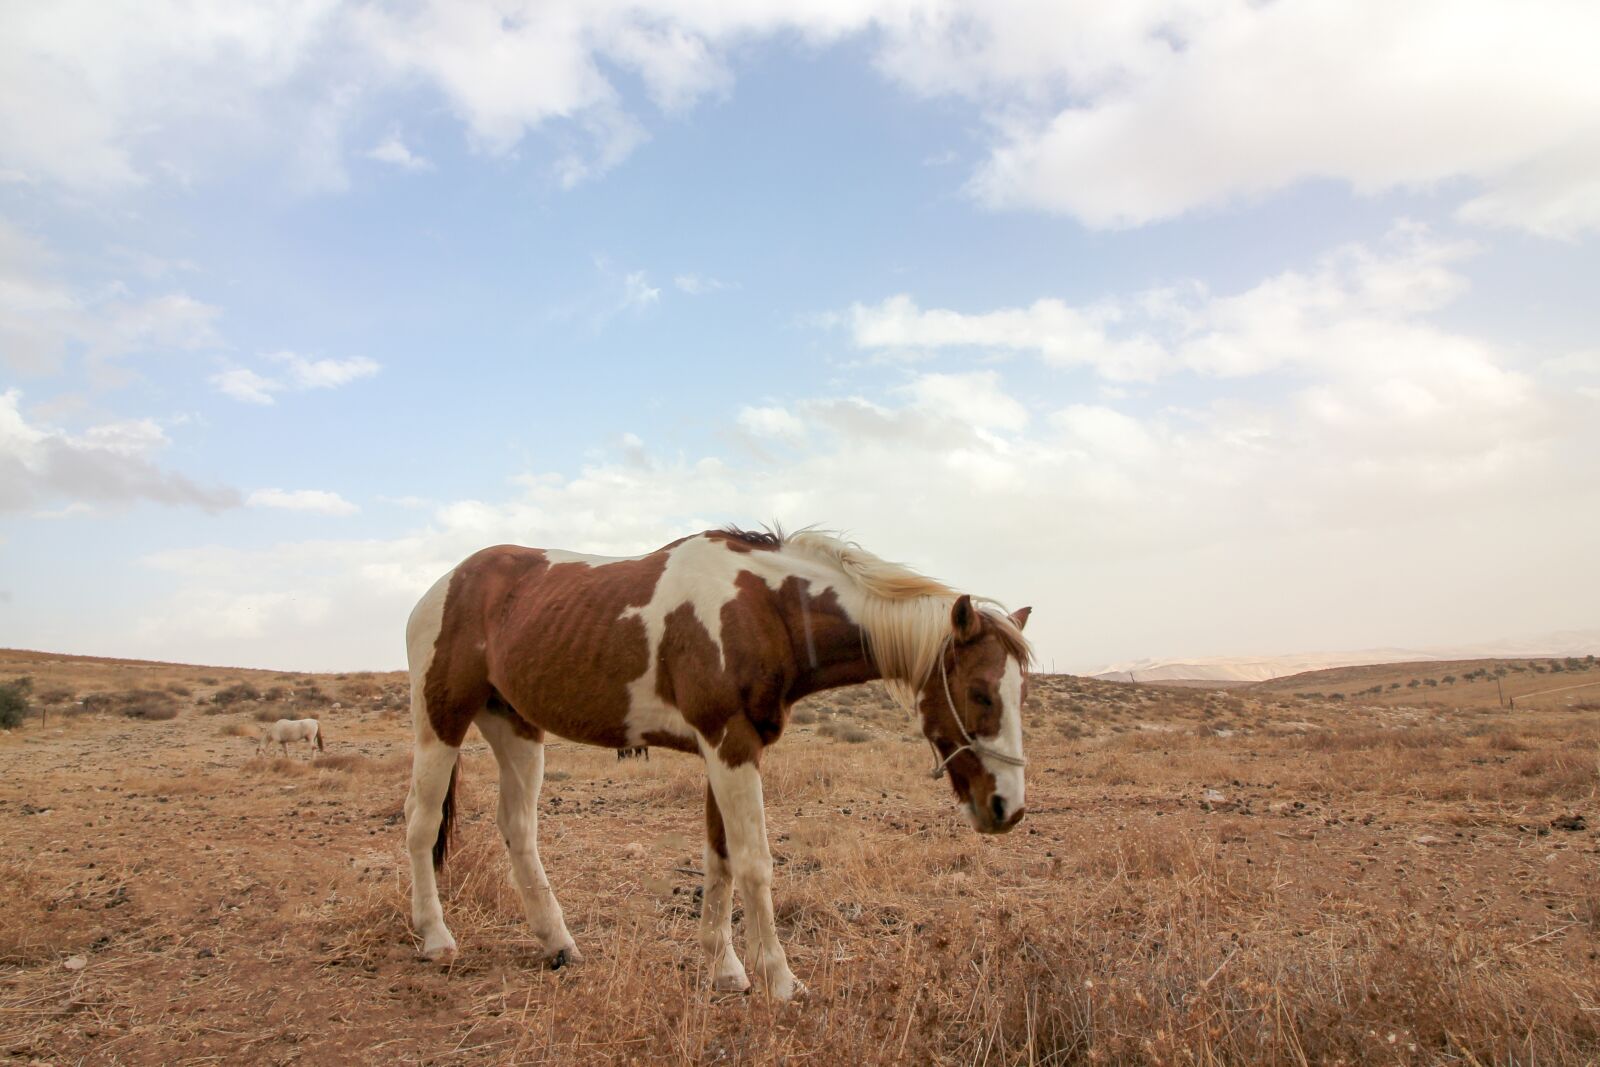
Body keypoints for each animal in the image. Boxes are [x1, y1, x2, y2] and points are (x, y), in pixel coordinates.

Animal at [404, 527, 1032, 1001]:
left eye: (1019, 691)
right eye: (979, 692)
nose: (1007, 807)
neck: (765, 610)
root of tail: (445, 585)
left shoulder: (725, 750)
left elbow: (720, 860)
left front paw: (725, 969)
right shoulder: (730, 746)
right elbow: (754, 862)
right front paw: (780, 979)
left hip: (515, 729)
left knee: (518, 828)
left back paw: (557, 944)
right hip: (441, 722)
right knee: (421, 824)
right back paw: (435, 939)